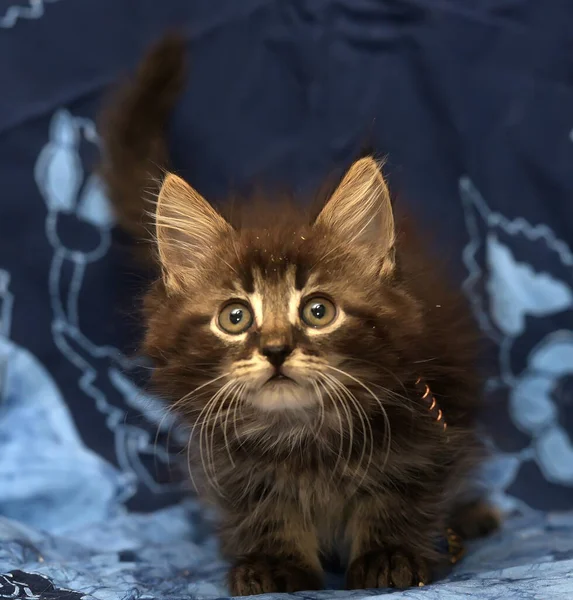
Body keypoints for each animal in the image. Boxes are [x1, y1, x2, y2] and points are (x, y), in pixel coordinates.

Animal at [100, 35, 498, 592]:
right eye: (235, 318)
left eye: (317, 311)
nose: (275, 349)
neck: (301, 437)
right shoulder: (237, 468)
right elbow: (267, 512)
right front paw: (275, 563)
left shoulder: (424, 436)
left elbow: (398, 497)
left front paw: (389, 555)